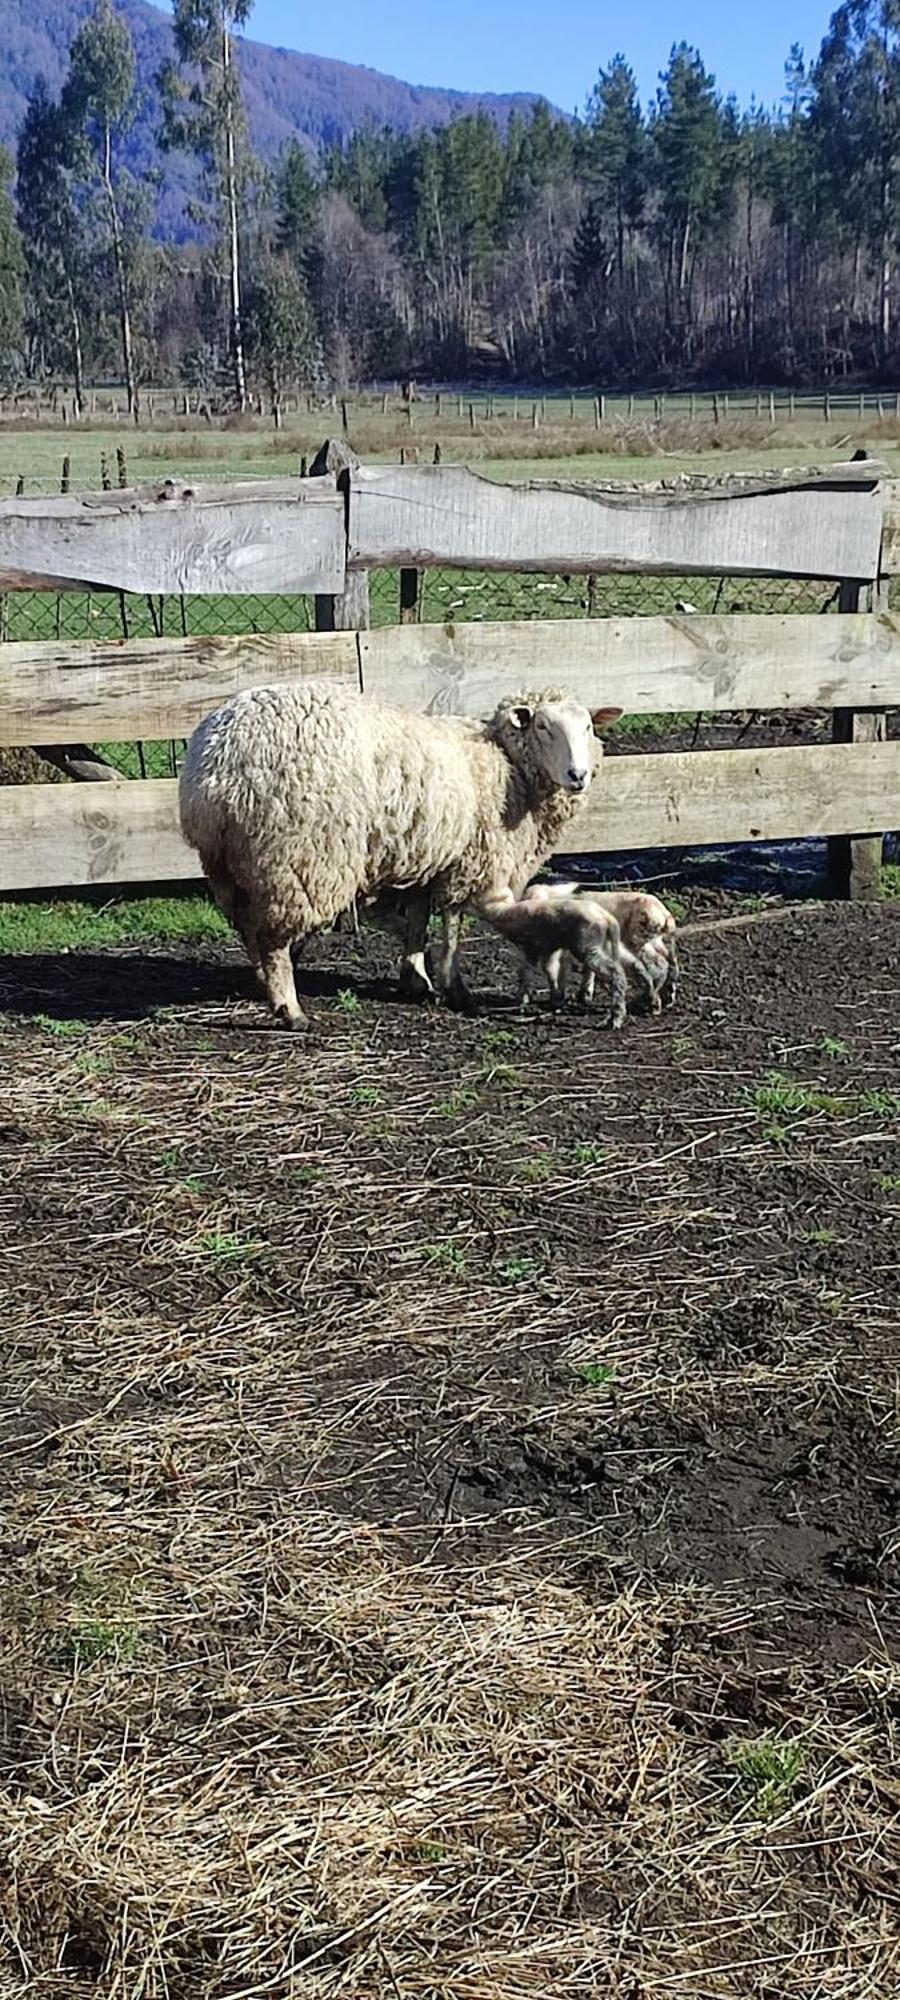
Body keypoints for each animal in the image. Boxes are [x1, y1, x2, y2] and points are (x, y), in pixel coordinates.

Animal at [180, 684, 624, 1032]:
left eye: (588, 727)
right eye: (544, 727)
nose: (578, 776)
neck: (507, 765)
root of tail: (215, 768)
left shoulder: (428, 858)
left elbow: (417, 920)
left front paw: (416, 978)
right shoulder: (469, 860)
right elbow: (451, 925)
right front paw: (454, 986)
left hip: (232, 864)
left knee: (249, 929)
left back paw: (266, 983)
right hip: (300, 855)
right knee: (272, 938)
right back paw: (290, 1009)